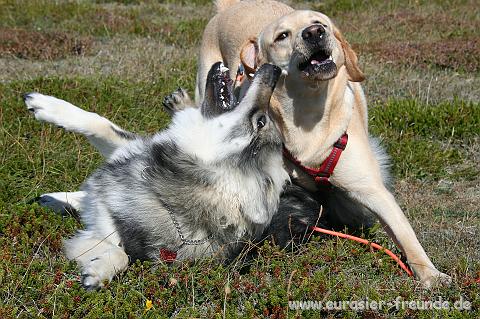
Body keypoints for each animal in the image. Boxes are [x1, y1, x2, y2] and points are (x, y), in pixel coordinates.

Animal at [25, 62, 300, 290]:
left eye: (261, 122)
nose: (275, 69)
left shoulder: (112, 238)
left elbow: (123, 254)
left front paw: (98, 271)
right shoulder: (128, 148)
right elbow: (98, 123)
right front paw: (46, 105)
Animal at [168, 0, 450, 288]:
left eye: (320, 23)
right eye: (282, 36)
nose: (315, 32)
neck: (307, 115)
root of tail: (233, 6)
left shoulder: (372, 190)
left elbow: (404, 232)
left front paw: (431, 274)